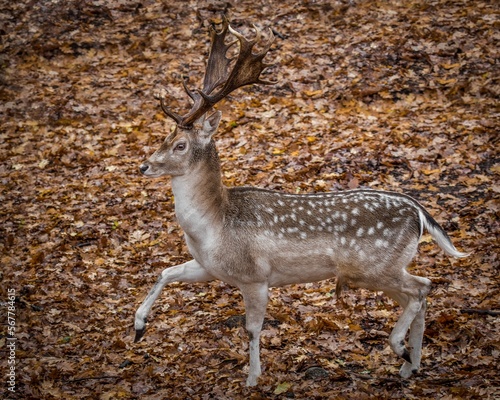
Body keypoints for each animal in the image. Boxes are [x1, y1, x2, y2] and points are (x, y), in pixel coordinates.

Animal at [134, 17, 468, 386]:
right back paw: (411, 365)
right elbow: (166, 272)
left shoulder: (255, 276)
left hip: (373, 267)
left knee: (422, 287)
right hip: (381, 269)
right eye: (163, 138)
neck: (213, 226)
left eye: (180, 145)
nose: (144, 165)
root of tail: (420, 213)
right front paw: (138, 327)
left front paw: (252, 379)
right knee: (418, 296)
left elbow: (252, 329)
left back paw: (401, 350)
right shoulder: (209, 267)